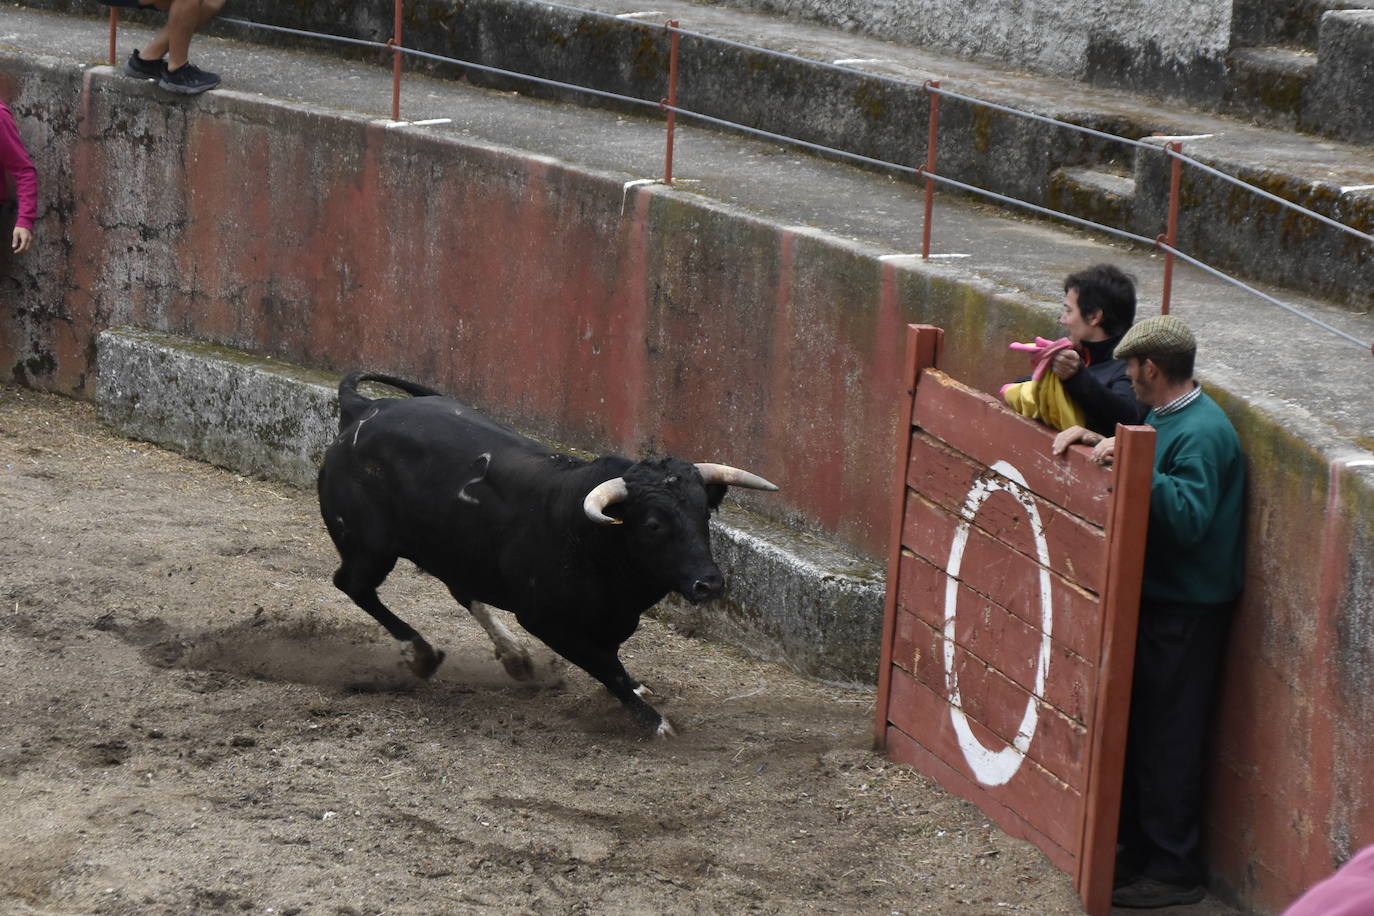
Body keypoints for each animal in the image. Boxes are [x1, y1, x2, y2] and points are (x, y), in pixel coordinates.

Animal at [314, 373, 780, 736]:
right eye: (653, 524)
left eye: (704, 513)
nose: (709, 583)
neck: (592, 539)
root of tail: (363, 407)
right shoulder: (544, 620)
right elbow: (603, 664)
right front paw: (654, 721)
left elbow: (612, 658)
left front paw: (636, 688)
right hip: (370, 548)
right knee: (353, 585)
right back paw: (423, 654)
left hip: (453, 550)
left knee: (460, 590)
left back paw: (515, 657)